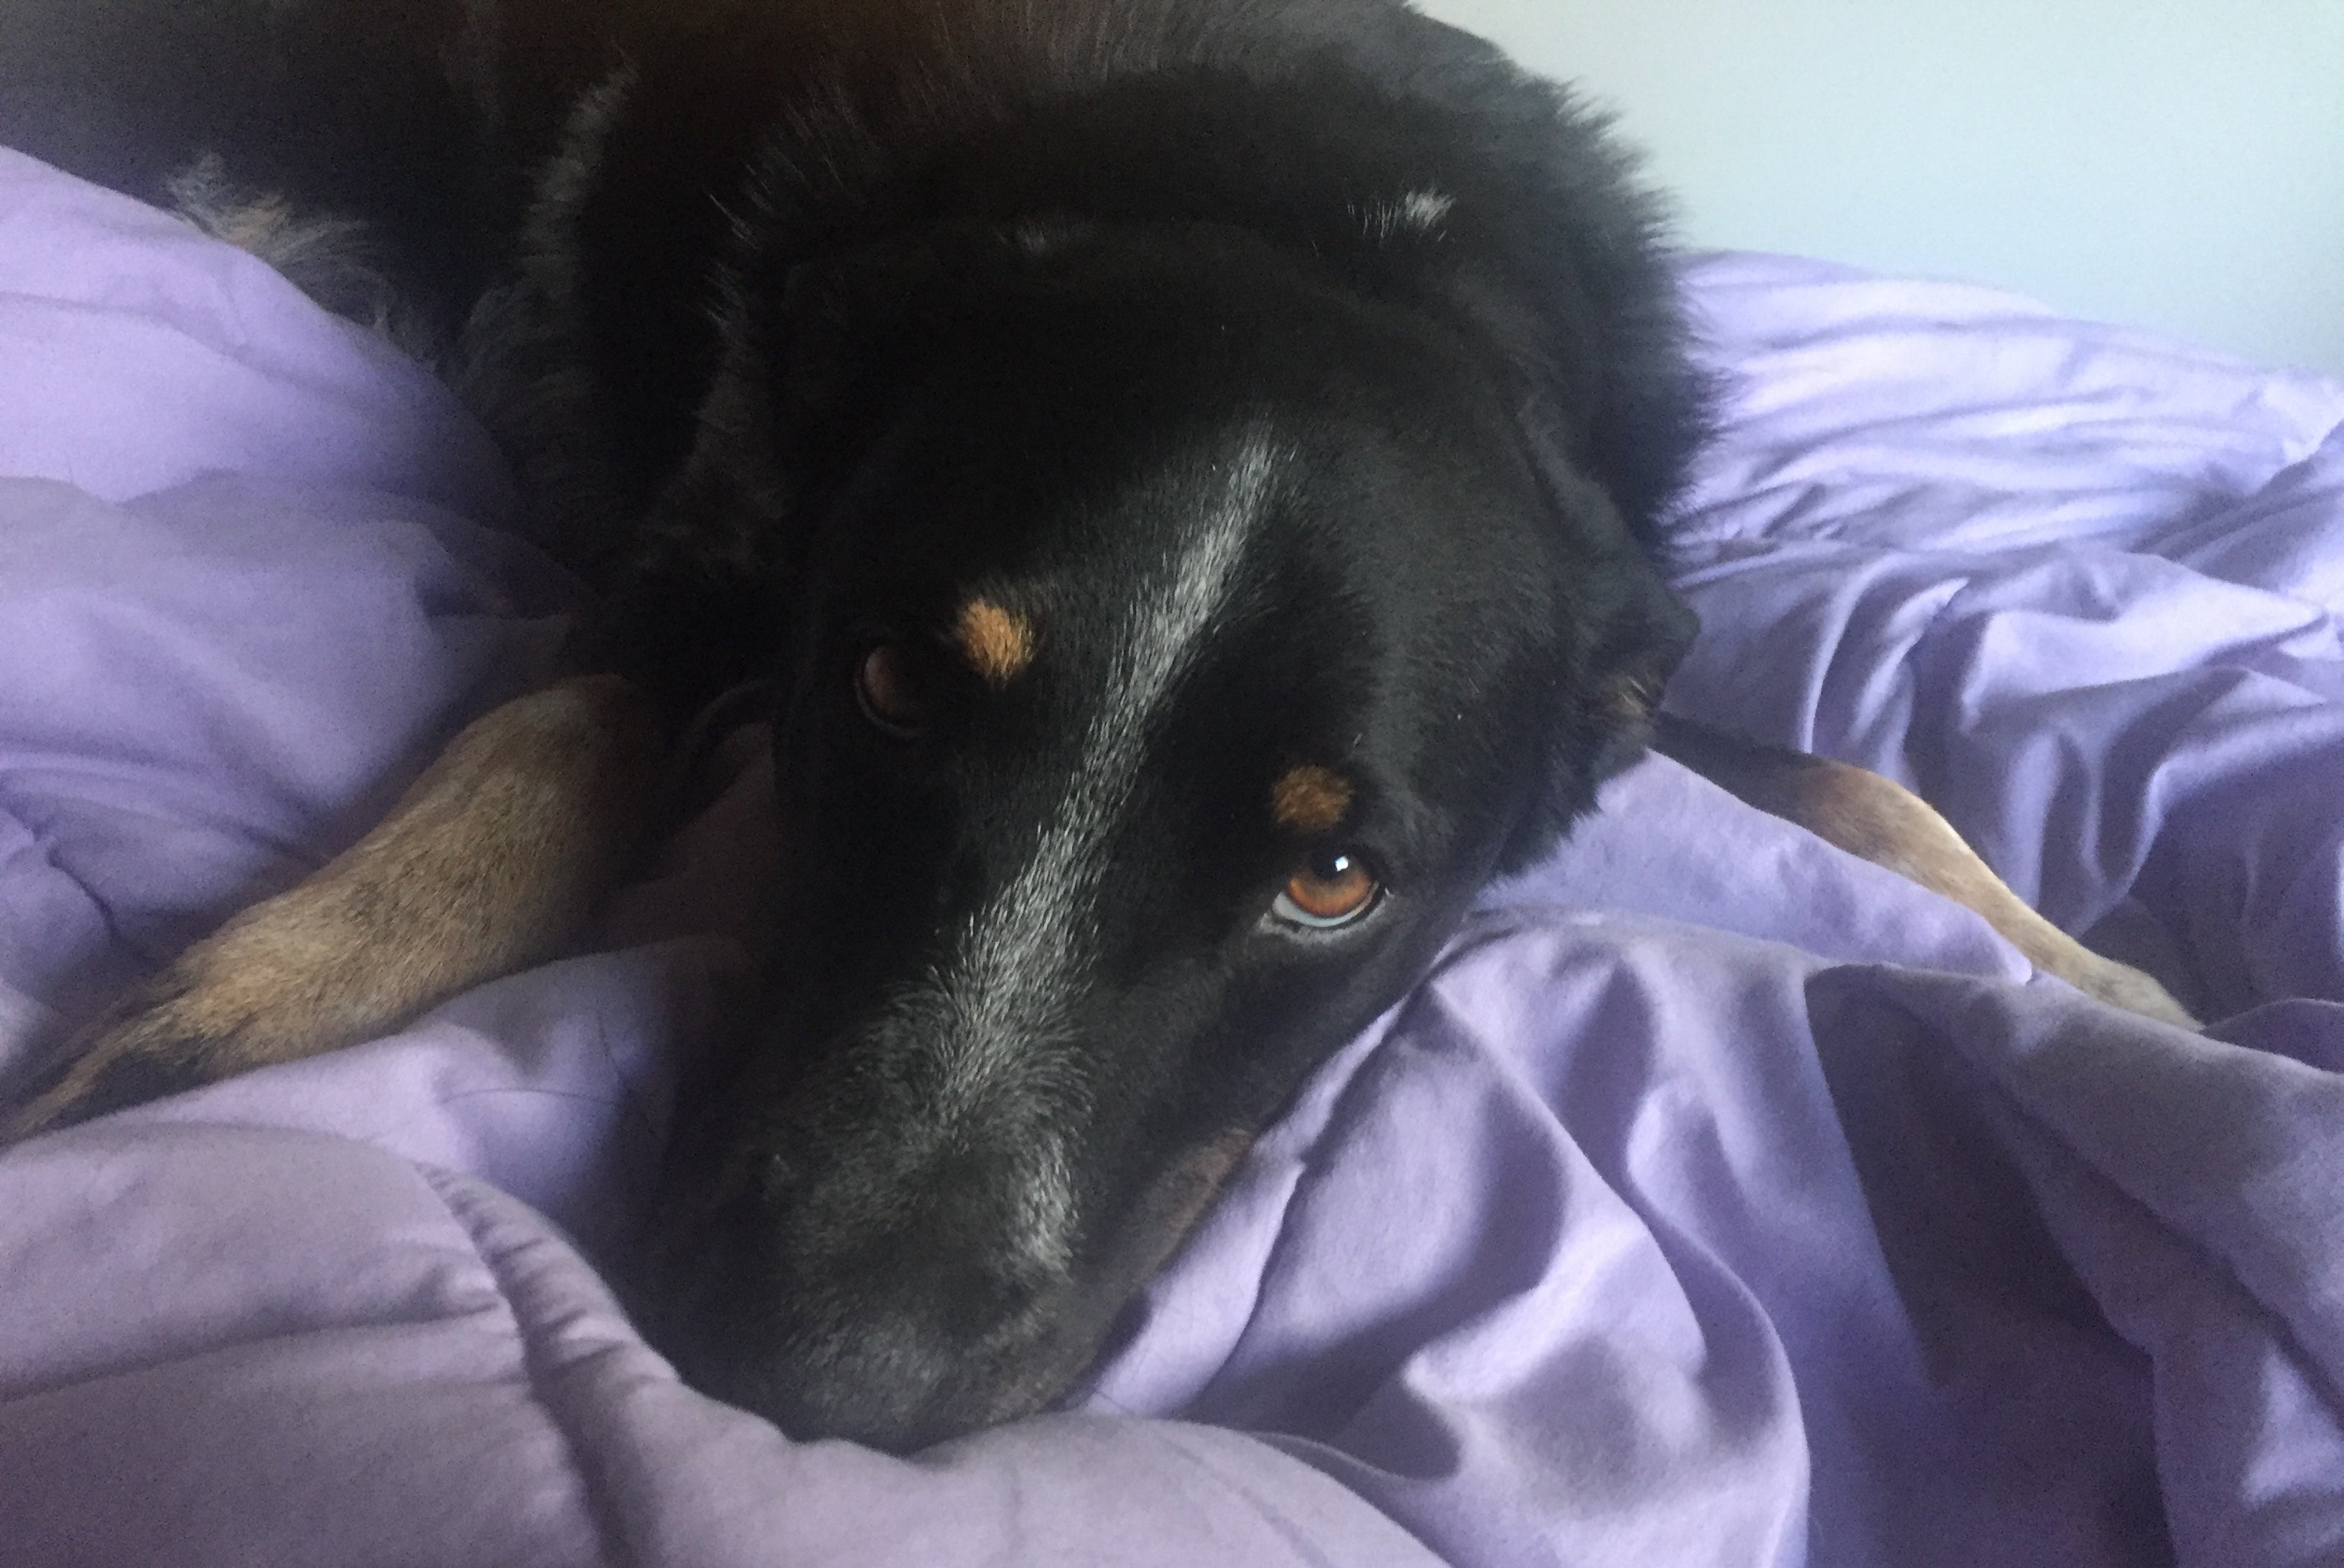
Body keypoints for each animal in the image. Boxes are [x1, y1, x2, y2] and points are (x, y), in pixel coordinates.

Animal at [0, 0, 2185, 1453]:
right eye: (889, 688)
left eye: (1333, 875)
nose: (815, 1383)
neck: (1332, 219)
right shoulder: (720, 540)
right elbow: (551, 748)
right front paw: (245, 1005)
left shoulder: (1607, 663)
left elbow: (1847, 771)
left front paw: (2102, 981)